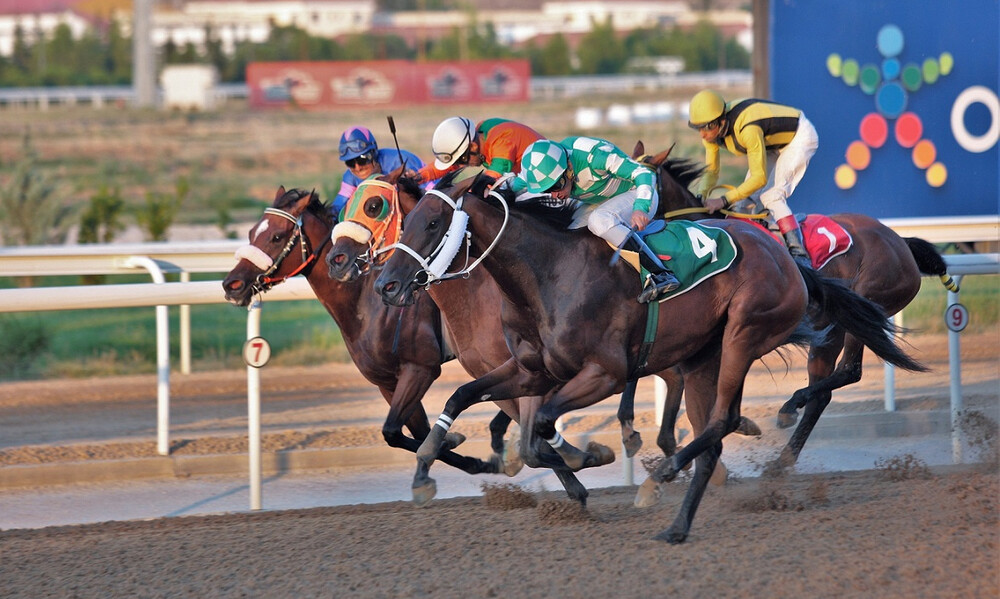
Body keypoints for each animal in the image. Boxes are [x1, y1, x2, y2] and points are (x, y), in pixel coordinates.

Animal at [225, 188, 508, 478]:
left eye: (276, 236)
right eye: (251, 233)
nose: (231, 284)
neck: (365, 303)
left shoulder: (420, 368)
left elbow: (396, 431)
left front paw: (476, 458)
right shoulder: (387, 381)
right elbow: (402, 433)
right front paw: (459, 449)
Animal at [376, 171, 920, 540]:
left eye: (432, 222)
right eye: (408, 220)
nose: (385, 285)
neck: (549, 273)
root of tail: (789, 259)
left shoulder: (606, 372)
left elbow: (543, 426)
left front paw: (590, 456)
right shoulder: (533, 369)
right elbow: (470, 401)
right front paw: (428, 466)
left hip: (744, 333)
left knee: (727, 419)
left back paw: (665, 477)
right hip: (705, 355)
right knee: (716, 426)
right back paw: (678, 520)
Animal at [636, 142, 956, 468]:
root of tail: (901, 242)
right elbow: (672, 373)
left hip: (863, 307)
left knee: (850, 370)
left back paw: (790, 407)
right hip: (830, 330)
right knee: (824, 393)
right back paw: (784, 457)